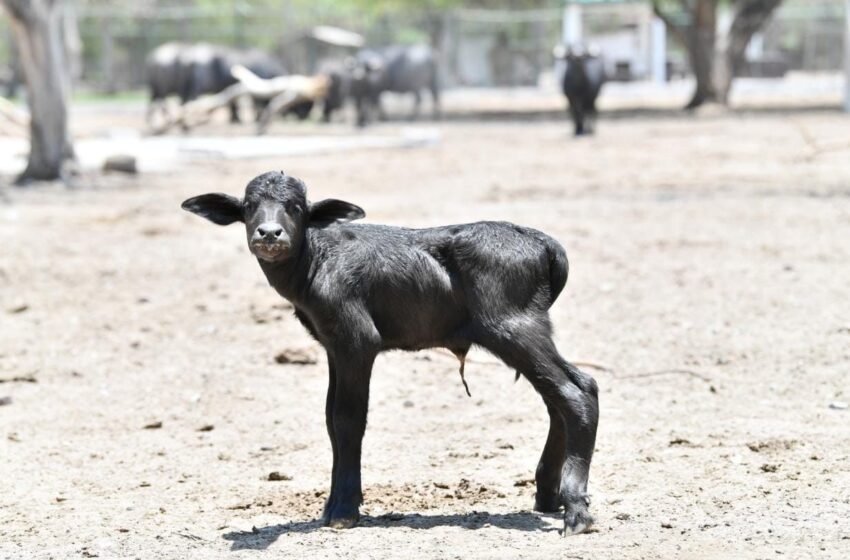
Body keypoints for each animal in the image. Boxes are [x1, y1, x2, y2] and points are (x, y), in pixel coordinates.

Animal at [182, 171, 600, 532]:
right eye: (249, 205)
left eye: (297, 207)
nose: (270, 233)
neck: (317, 259)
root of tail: (542, 242)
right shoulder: (333, 344)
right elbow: (330, 420)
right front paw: (330, 506)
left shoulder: (357, 339)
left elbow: (348, 419)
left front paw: (344, 511)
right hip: (526, 328)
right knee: (567, 390)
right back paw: (548, 496)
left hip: (512, 325)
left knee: (574, 392)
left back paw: (575, 510)